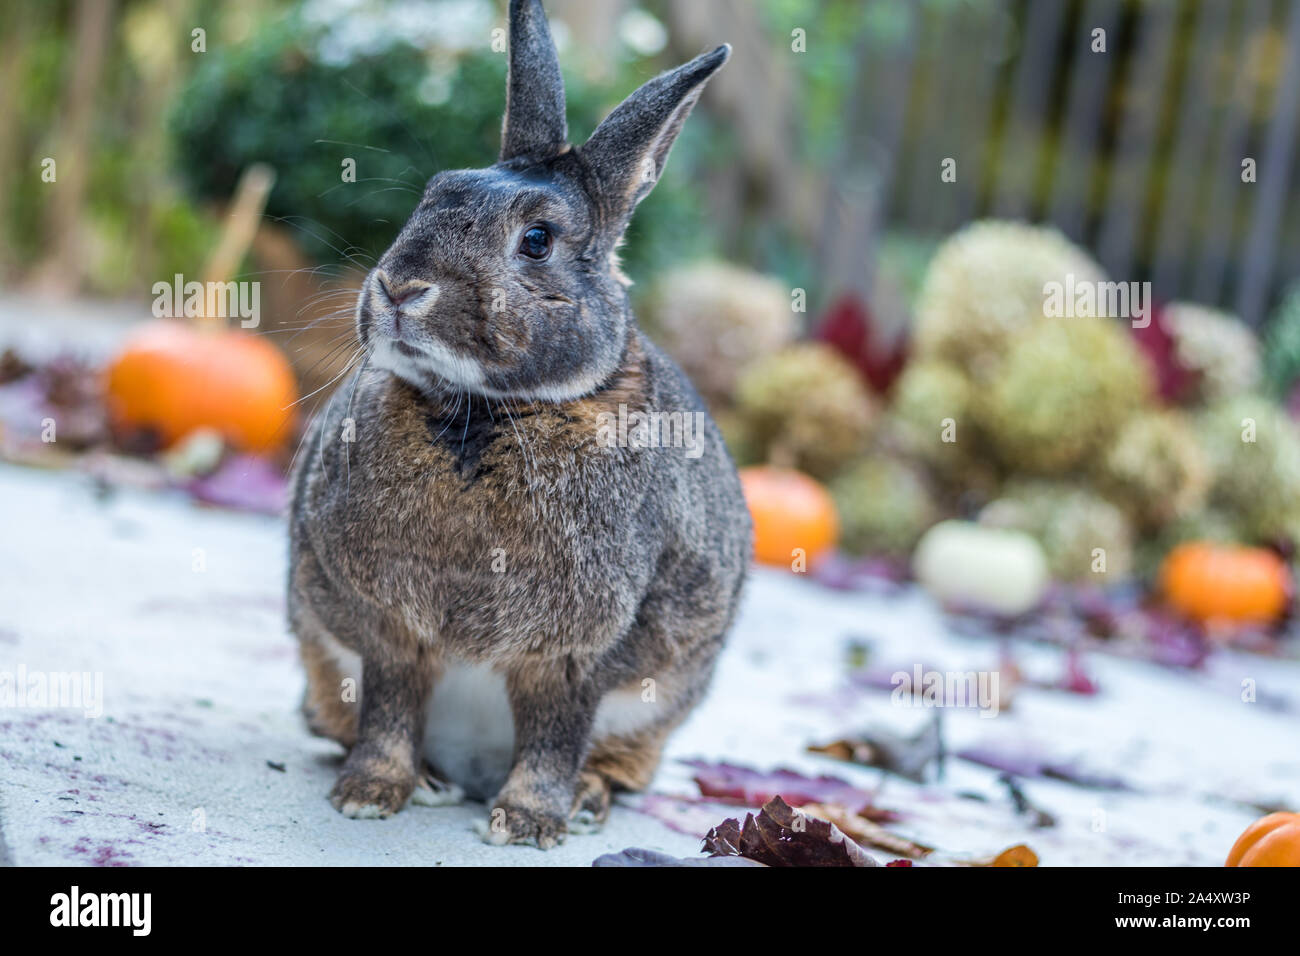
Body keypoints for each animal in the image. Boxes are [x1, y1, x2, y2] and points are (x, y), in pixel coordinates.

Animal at [287, 0, 754, 848]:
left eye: (536, 240)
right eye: (433, 192)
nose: (400, 287)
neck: (483, 411)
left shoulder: (576, 655)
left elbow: (553, 734)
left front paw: (529, 823)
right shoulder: (387, 632)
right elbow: (390, 707)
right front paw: (369, 794)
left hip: (659, 710)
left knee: (612, 760)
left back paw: (585, 802)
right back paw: (433, 783)